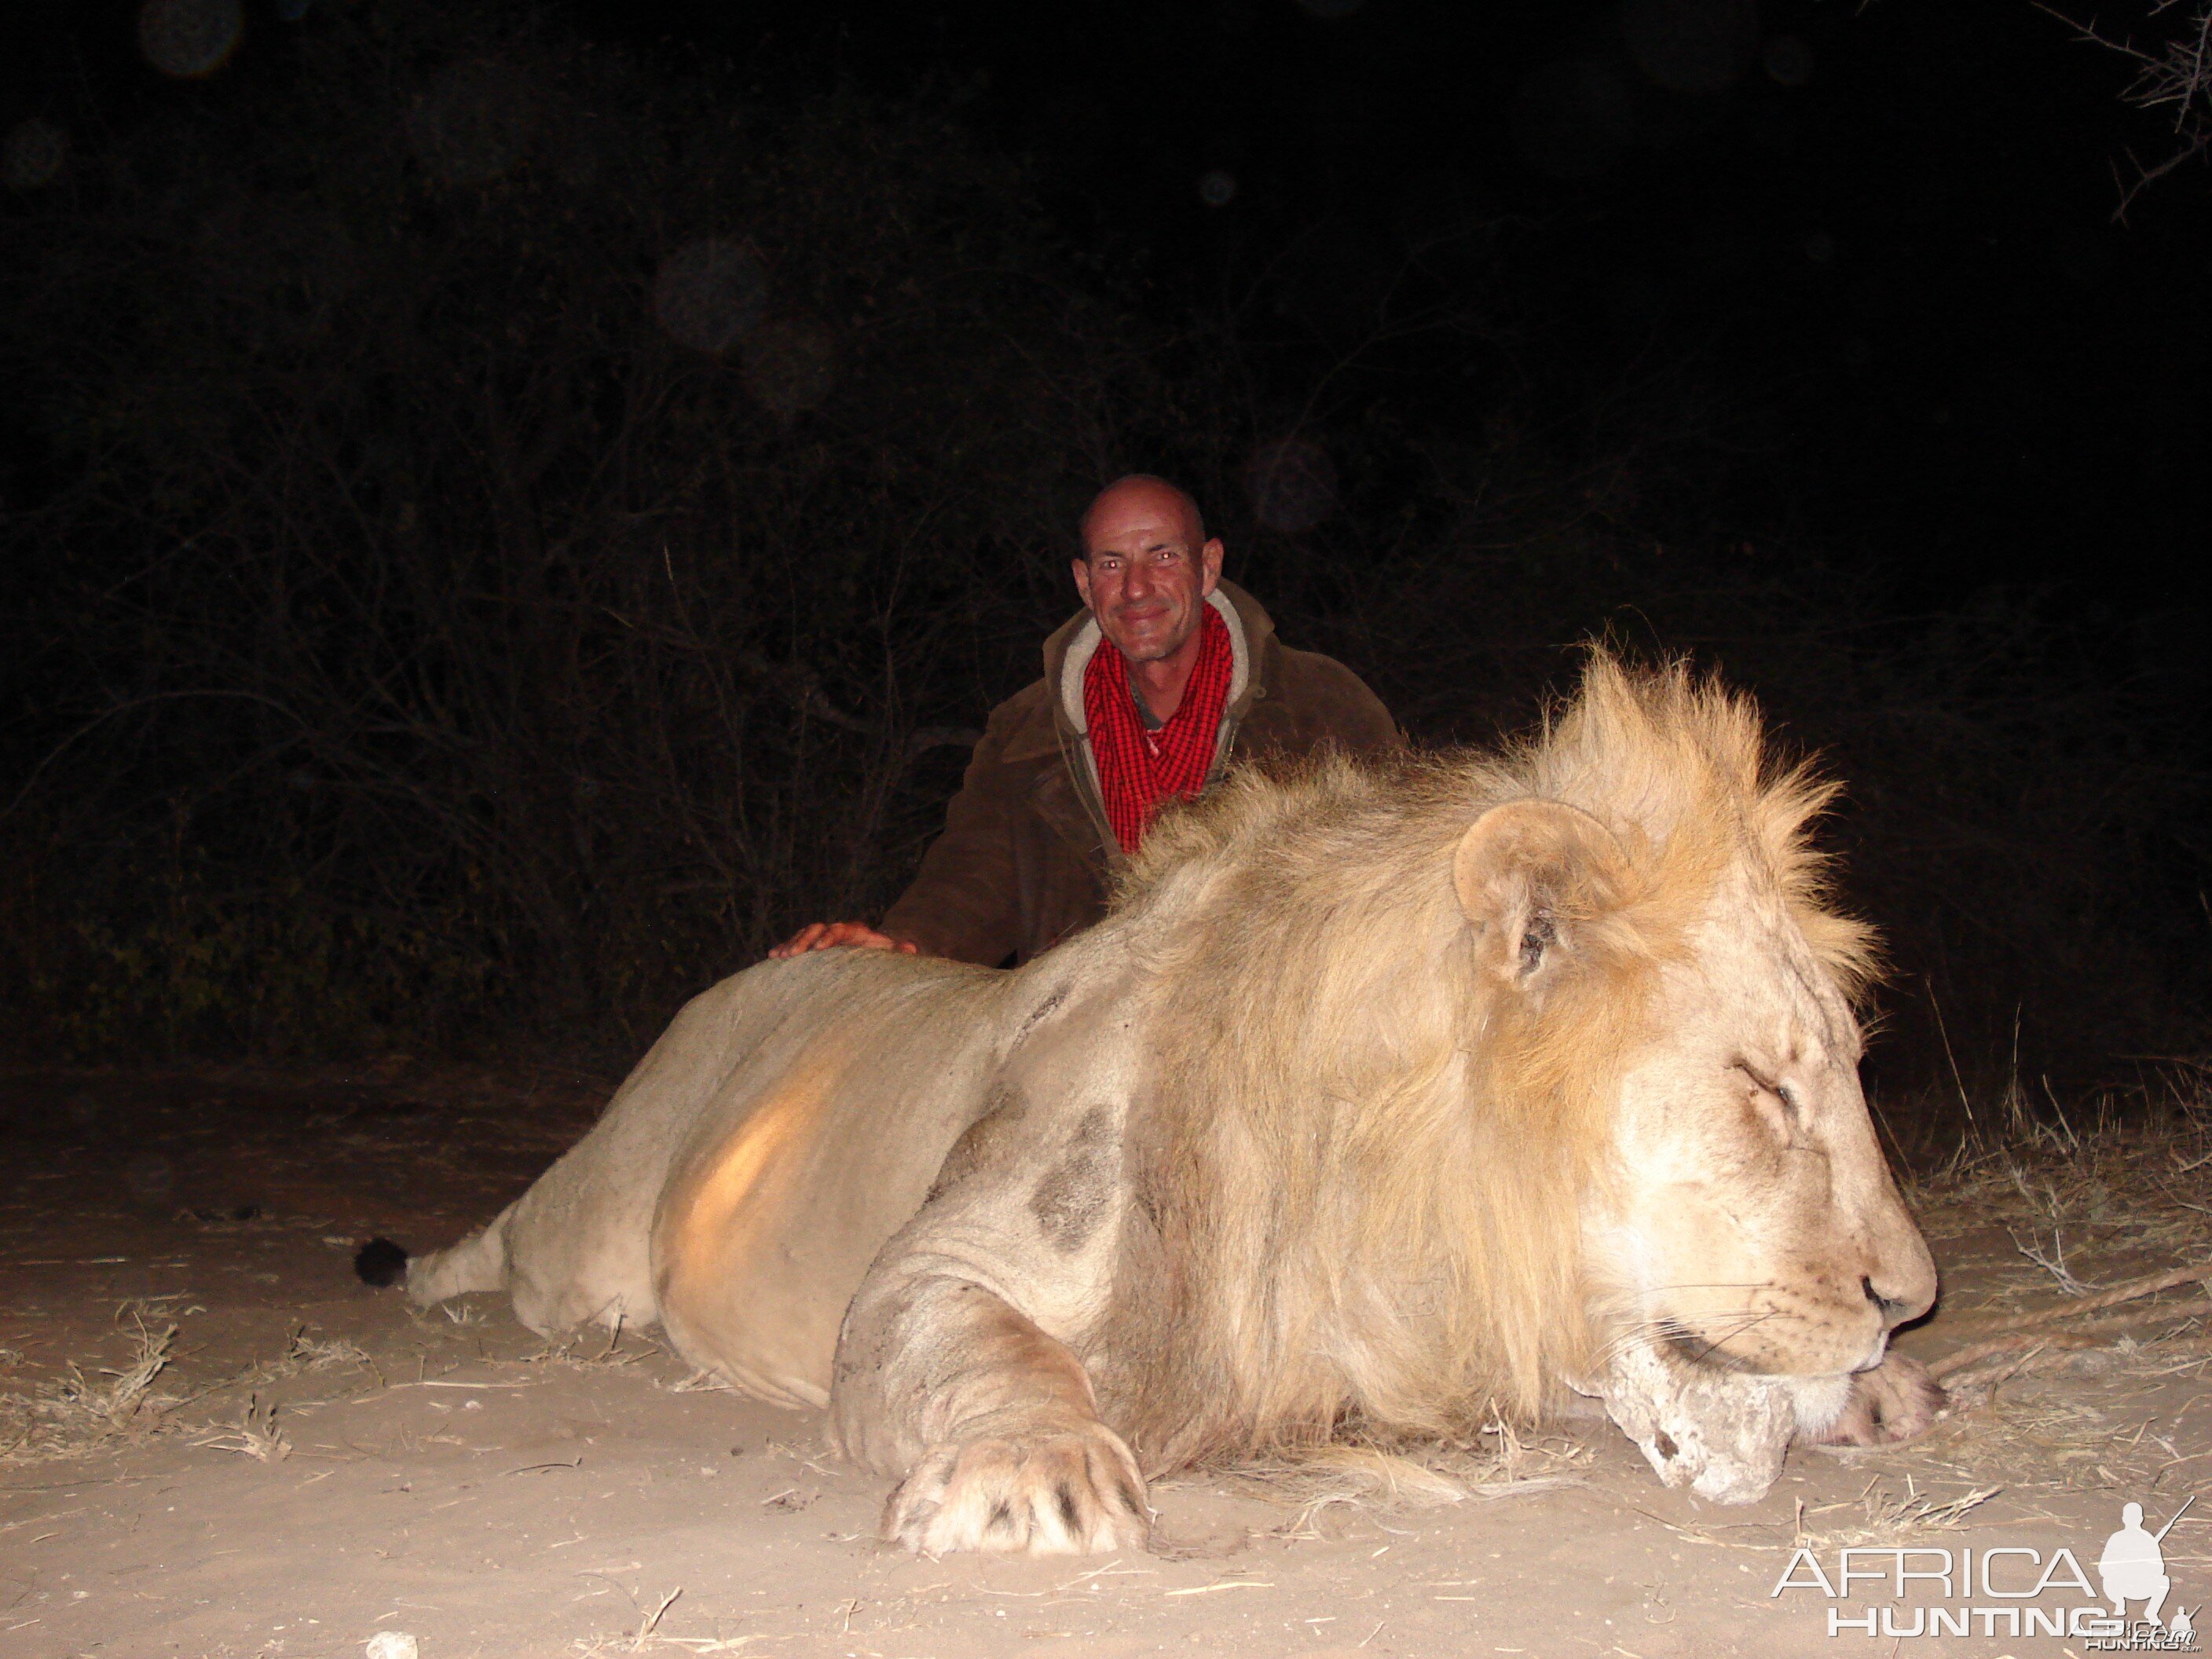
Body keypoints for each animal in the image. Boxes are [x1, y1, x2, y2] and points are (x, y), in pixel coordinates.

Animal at [358, 654, 1937, 1557]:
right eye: (1761, 1086)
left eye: (1846, 1071)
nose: (1911, 1299)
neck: (1383, 1163)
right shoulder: (935, 1265)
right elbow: (990, 1351)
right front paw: (1032, 1473)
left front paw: (1873, 1393)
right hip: (590, 1230)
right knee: (519, 1246)